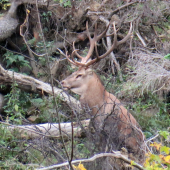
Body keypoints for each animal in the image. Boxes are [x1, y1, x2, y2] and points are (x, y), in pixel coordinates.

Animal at [61, 21, 146, 165]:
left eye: (79, 75)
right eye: (74, 72)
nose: (62, 82)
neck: (95, 106)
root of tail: (144, 148)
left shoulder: (102, 128)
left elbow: (100, 152)